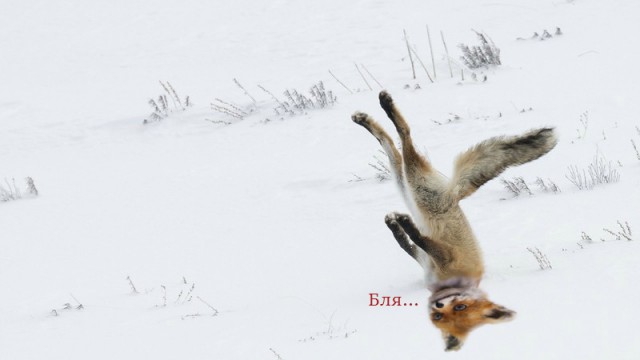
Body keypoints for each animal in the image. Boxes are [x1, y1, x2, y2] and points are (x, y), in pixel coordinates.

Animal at [352, 90, 556, 352]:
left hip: (415, 188)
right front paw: (396, 224)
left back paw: (382, 108)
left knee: (404, 139)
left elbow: (414, 239)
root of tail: (454, 193)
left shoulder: (443, 258)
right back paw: (368, 117)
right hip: (408, 186)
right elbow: (407, 242)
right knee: (393, 145)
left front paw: (401, 224)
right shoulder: (431, 259)